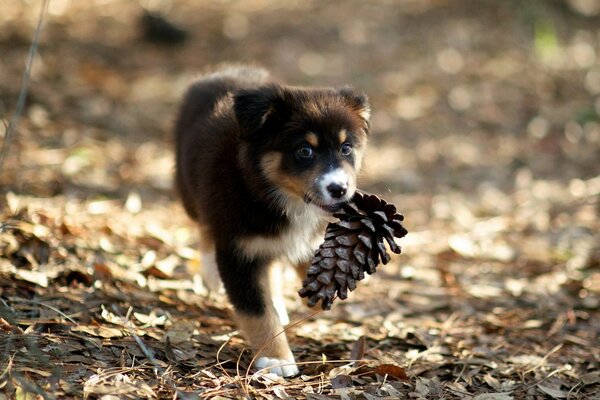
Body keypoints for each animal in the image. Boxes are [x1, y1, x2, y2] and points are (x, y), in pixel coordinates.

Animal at [173, 65, 370, 376]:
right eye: (305, 150)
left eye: (346, 148)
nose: (339, 189)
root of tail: (220, 71)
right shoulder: (237, 250)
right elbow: (256, 311)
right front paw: (275, 358)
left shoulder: (310, 239)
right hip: (190, 191)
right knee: (204, 226)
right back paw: (212, 273)